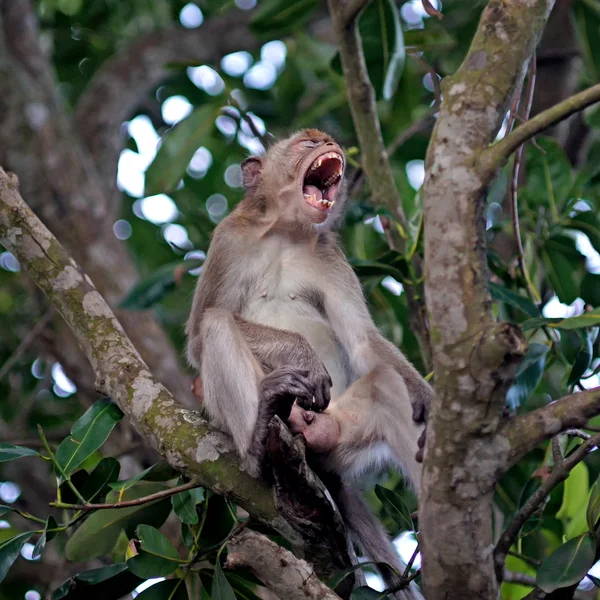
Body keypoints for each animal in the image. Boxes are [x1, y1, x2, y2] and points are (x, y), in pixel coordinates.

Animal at [186, 129, 432, 596]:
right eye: (308, 143)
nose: (329, 143)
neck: (286, 233)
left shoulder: (330, 254)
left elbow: (363, 341)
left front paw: (425, 392)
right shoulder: (228, 240)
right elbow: (197, 337)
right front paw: (301, 353)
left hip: (336, 438)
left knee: (385, 386)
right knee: (216, 324)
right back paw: (259, 438)